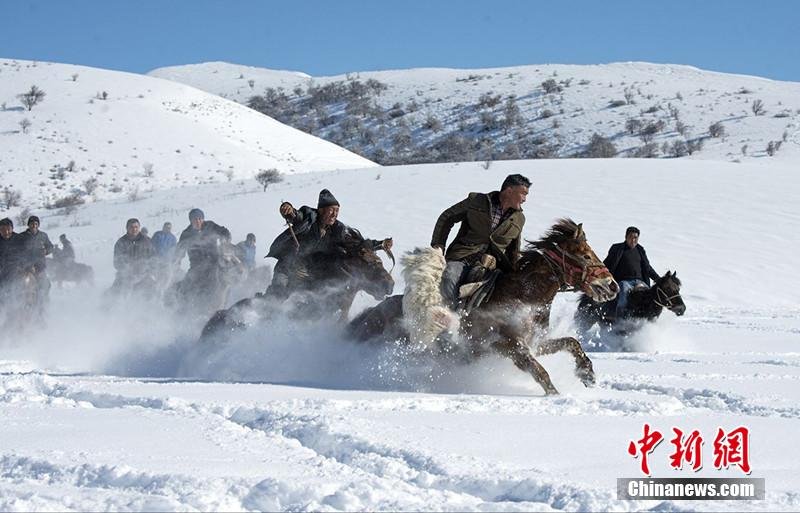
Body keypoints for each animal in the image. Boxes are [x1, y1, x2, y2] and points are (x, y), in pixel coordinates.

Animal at [348, 218, 620, 394]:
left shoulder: (536, 342)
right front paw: (555, 395)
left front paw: (587, 374)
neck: (522, 297)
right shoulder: (506, 345)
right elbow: (538, 370)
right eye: (585, 255)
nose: (613, 286)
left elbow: (571, 343)